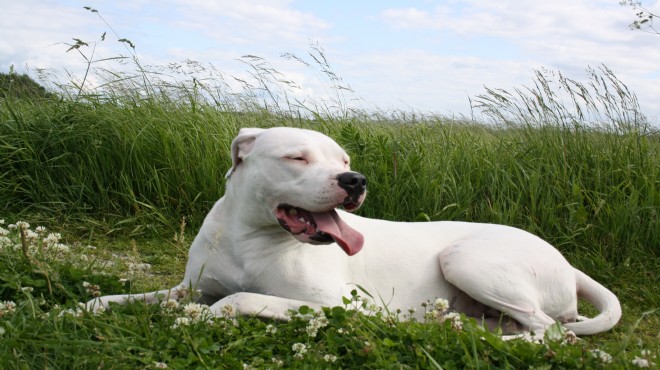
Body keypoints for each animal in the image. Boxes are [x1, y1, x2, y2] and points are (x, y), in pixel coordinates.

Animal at [89, 126, 624, 336]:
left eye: (345, 160)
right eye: (297, 157)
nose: (356, 180)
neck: (249, 238)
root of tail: (565, 261)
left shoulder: (342, 305)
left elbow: (237, 299)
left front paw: (209, 316)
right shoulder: (189, 287)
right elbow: (130, 298)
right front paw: (86, 306)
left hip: (466, 259)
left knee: (551, 332)